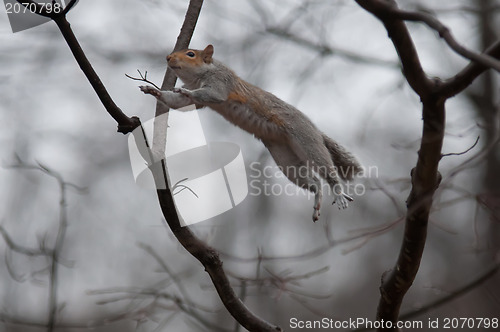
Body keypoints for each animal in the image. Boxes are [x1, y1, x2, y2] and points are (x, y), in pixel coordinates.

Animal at [139, 44, 362, 220]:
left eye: (191, 54)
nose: (168, 58)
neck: (203, 74)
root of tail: (313, 127)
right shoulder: (196, 101)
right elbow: (179, 103)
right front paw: (155, 91)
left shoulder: (221, 83)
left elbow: (209, 94)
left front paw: (182, 89)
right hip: (286, 157)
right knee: (314, 182)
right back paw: (317, 202)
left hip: (307, 140)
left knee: (326, 169)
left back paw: (338, 192)